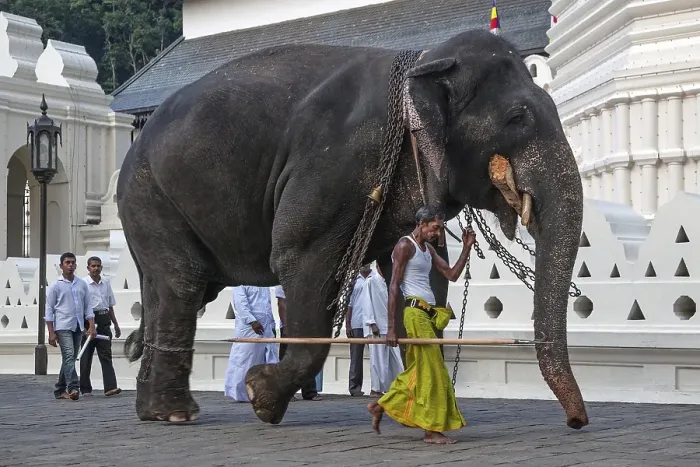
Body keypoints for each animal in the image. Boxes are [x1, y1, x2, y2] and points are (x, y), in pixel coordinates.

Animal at [117, 29, 589, 430]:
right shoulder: (335, 166)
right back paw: (177, 414)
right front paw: (260, 396)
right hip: (150, 195)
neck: (425, 58)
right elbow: (298, 257)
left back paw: (155, 410)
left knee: (171, 290)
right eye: (518, 118)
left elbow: (416, 276)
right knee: (183, 284)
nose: (576, 422)